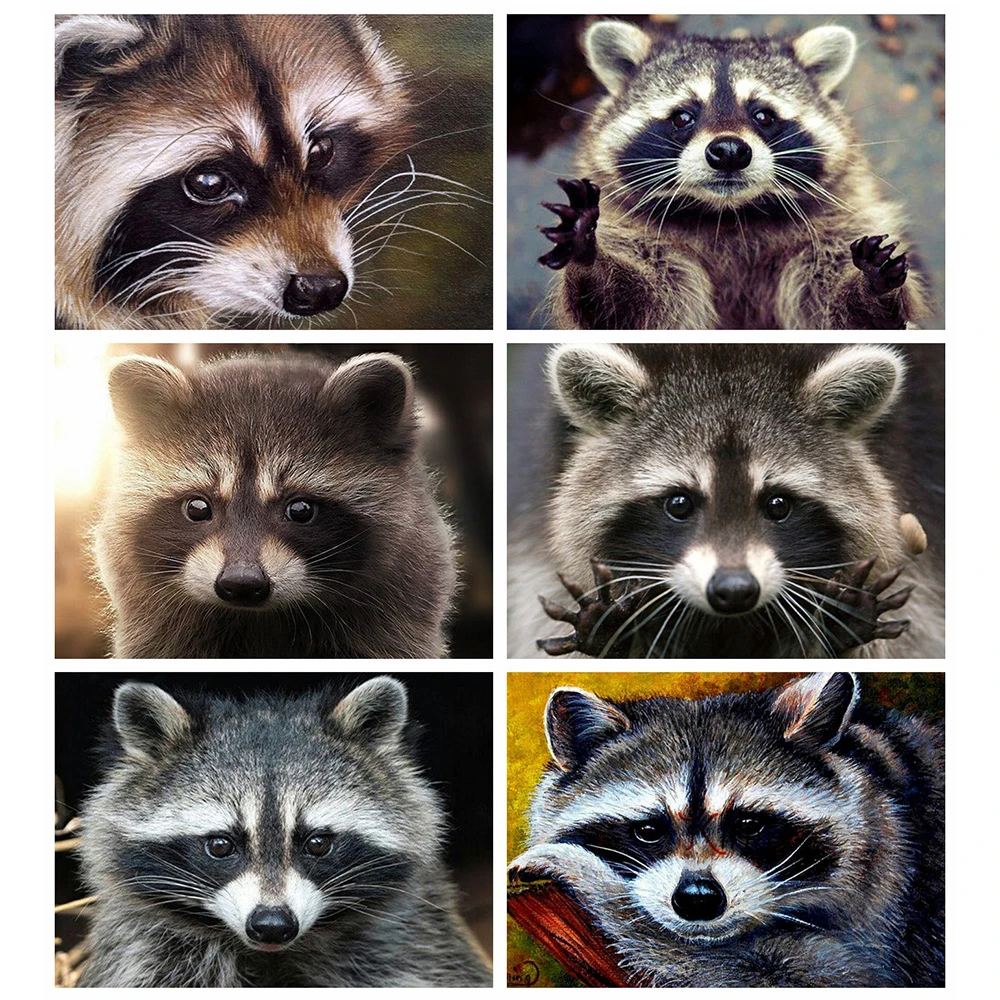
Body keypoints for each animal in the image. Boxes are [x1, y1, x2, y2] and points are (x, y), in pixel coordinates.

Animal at [538, 21, 931, 329]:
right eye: (683, 116)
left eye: (764, 115)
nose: (729, 151)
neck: (729, 217)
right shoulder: (638, 235)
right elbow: (629, 310)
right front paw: (589, 253)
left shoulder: (832, 230)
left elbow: (839, 310)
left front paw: (868, 289)